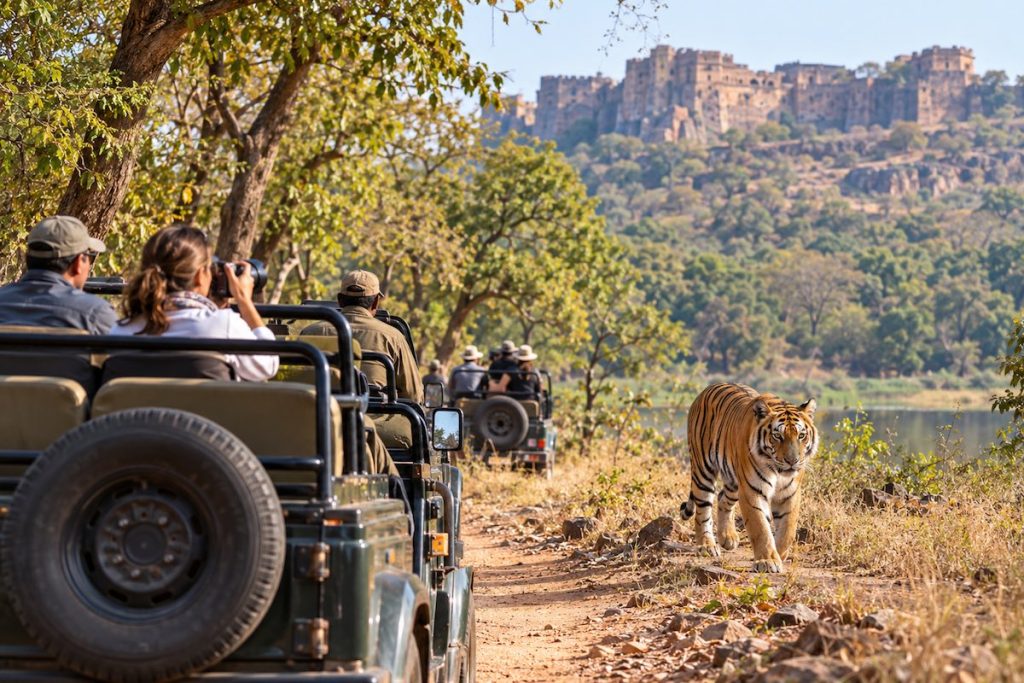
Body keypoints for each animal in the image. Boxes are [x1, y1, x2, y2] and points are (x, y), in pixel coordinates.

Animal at [680, 383, 818, 573]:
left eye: (801, 435)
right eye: (777, 436)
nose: (792, 461)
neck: (778, 472)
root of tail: (707, 389)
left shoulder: (790, 494)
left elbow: (787, 530)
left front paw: (780, 555)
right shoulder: (752, 491)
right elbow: (760, 527)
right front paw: (767, 561)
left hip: (733, 483)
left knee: (722, 499)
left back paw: (727, 538)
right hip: (703, 471)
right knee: (703, 510)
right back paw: (706, 546)